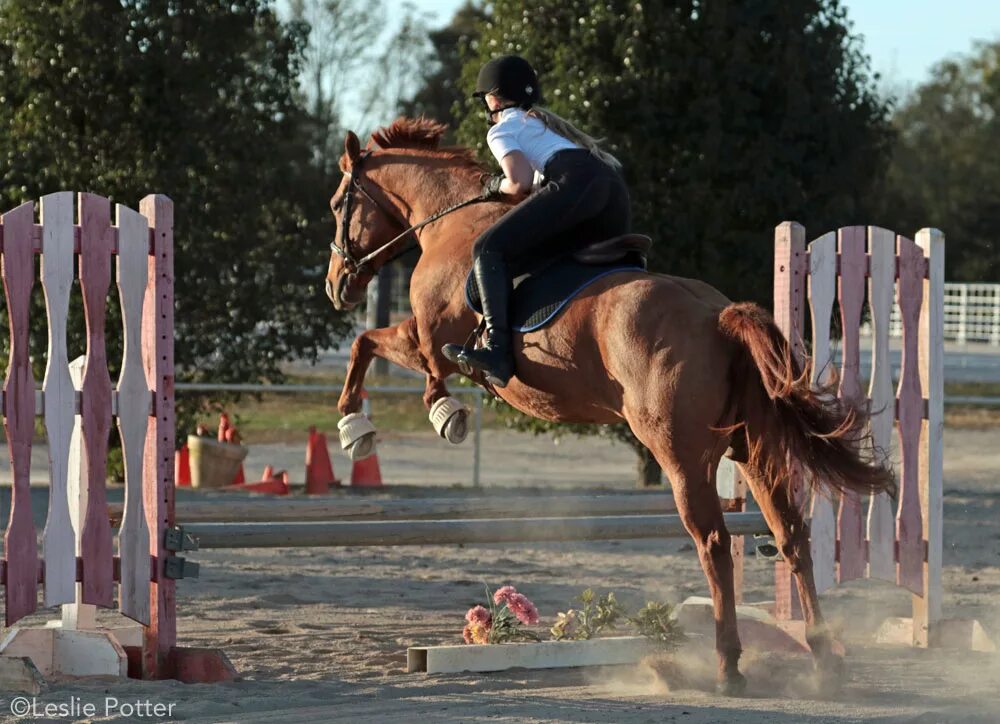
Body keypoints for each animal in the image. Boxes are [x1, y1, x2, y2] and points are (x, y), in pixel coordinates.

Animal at [326, 119, 892, 696]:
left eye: (337, 204)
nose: (336, 286)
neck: (450, 224)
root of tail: (719, 316)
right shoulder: (425, 341)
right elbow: (370, 347)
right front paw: (387, 421)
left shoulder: (430, 340)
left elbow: (377, 350)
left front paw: (376, 424)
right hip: (754, 451)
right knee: (791, 536)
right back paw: (824, 659)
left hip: (681, 455)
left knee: (713, 543)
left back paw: (727, 666)